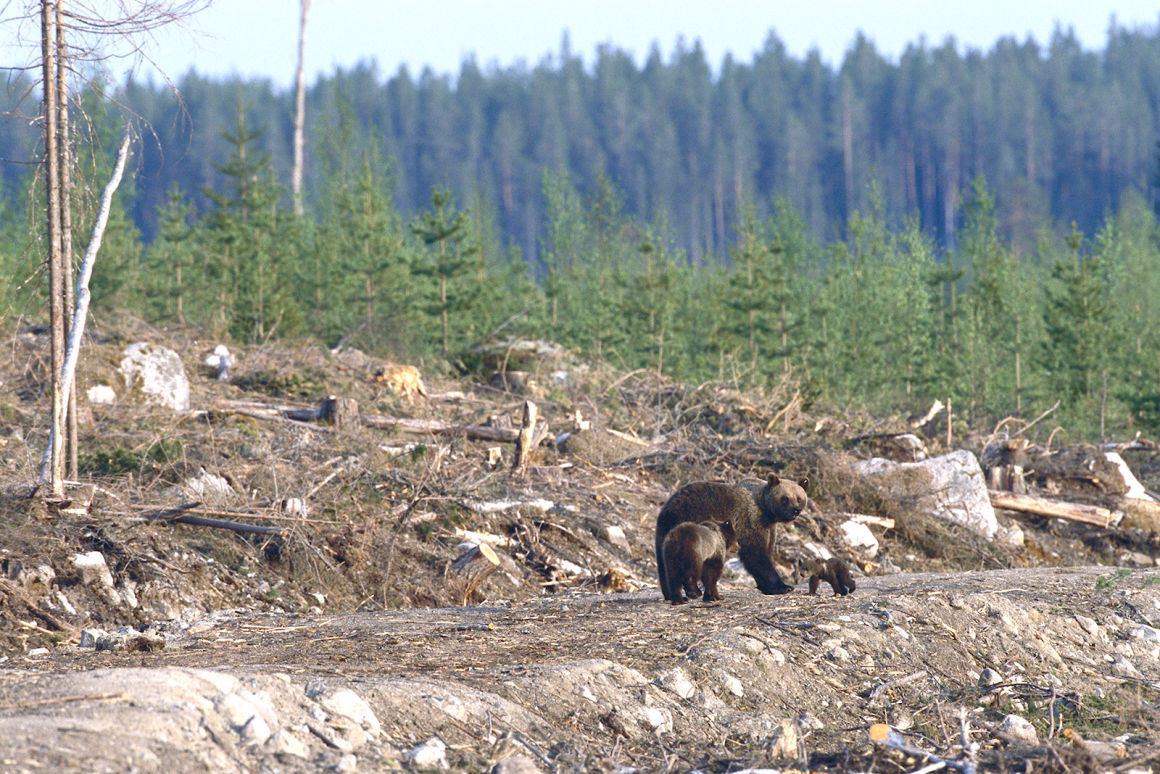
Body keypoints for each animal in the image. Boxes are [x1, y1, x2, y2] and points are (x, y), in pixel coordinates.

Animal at [654, 475, 807, 603]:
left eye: (799, 498)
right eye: (785, 498)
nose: (796, 510)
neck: (766, 511)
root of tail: (667, 507)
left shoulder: (769, 527)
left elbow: (765, 552)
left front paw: (768, 587)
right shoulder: (750, 520)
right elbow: (756, 555)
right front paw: (783, 586)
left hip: (666, 534)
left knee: (665, 565)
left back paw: (670, 593)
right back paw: (691, 591)